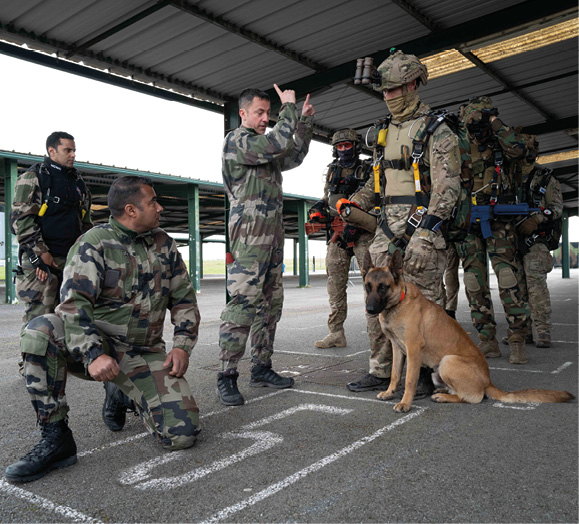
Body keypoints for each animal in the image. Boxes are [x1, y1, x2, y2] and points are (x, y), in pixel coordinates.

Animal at [362, 250, 576, 414]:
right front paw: (389, 392)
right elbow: (395, 374)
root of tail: (488, 381)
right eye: (368, 287)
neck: (398, 302)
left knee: (474, 397)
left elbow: (409, 381)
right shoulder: (398, 349)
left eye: (383, 287)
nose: (370, 310)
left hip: (448, 361)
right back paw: (443, 393)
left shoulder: (414, 350)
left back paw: (444, 397)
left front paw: (405, 403)